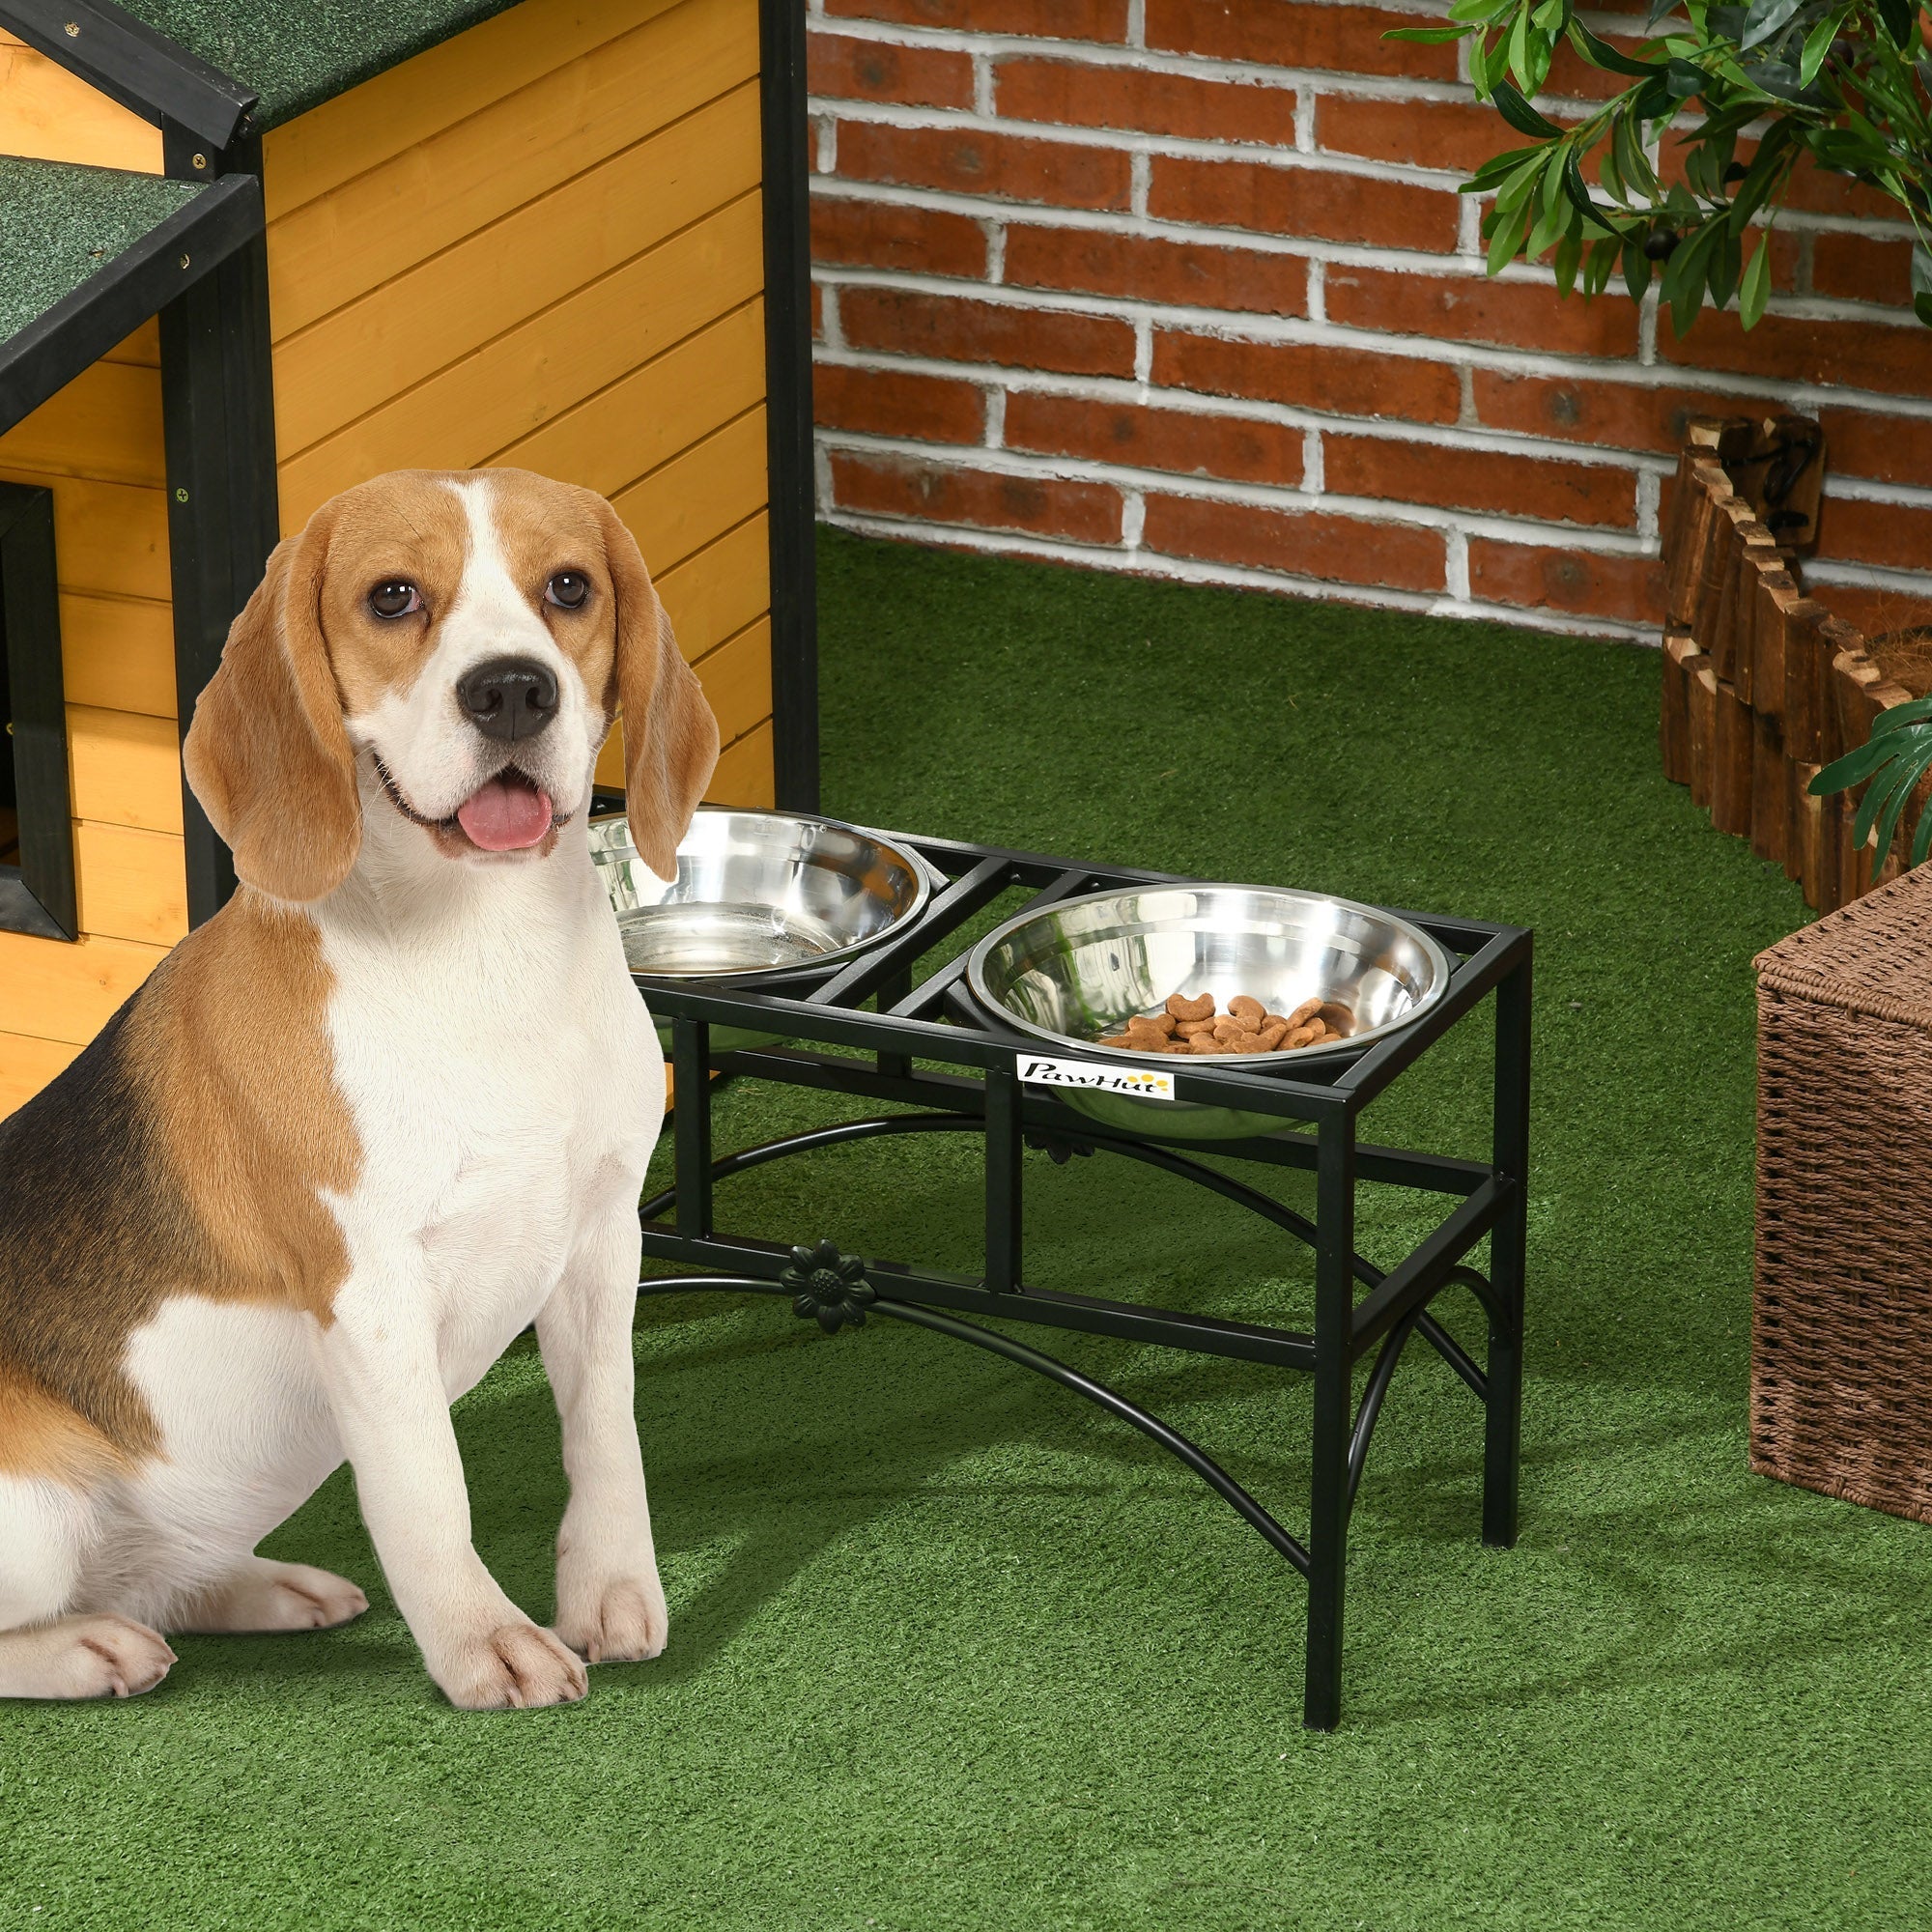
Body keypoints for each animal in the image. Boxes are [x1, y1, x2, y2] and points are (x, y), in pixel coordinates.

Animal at [0, 475, 719, 1716]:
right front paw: (485, 1642)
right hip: (32, 1517)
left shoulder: (599, 1235)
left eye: (569, 585)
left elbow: (605, 1429)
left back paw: (256, 1586)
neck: (486, 955)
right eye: (392, 597)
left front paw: (611, 1588)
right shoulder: (370, 1288)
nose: (512, 688)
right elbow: (428, 1486)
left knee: (155, 1576)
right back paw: (88, 1646)